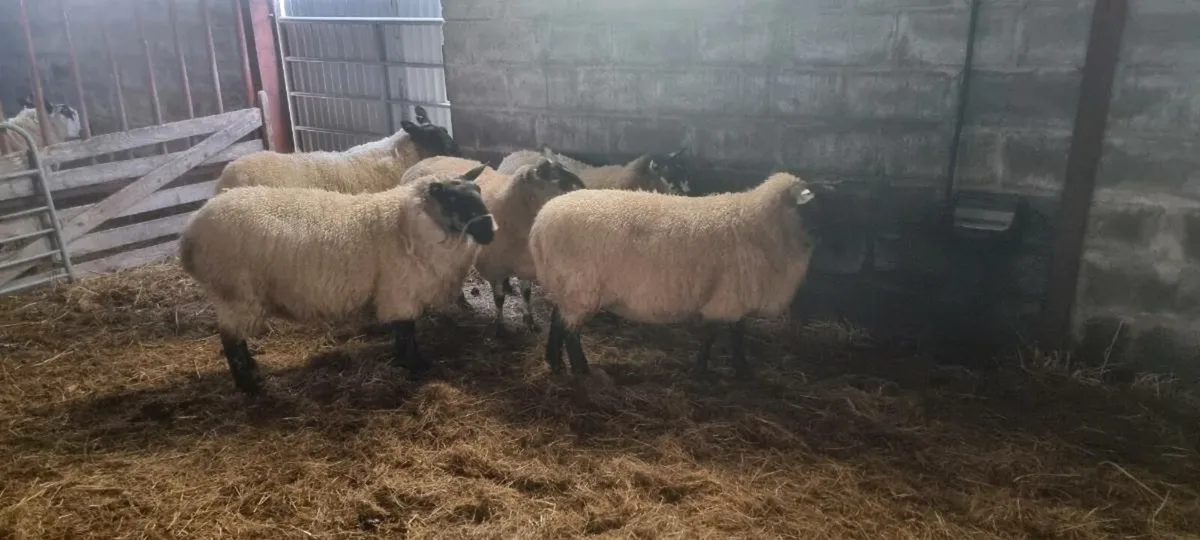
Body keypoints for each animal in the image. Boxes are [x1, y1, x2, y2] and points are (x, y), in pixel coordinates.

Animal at [178, 165, 497, 394]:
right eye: (453, 199)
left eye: (479, 190)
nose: (489, 231)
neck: (407, 223)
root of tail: (190, 231)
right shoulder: (400, 291)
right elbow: (406, 331)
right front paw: (415, 365)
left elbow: (401, 331)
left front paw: (401, 360)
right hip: (235, 293)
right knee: (231, 343)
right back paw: (249, 385)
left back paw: (253, 372)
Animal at [401, 150, 585, 331]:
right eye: (555, 178)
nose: (582, 191)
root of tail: (424, 160)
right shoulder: (493, 267)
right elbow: (499, 299)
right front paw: (500, 324)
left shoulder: (525, 265)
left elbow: (526, 294)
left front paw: (530, 320)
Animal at [527, 171, 833, 378]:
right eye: (818, 205)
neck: (762, 226)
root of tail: (539, 224)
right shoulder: (728, 296)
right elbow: (718, 335)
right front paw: (708, 370)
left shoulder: (734, 296)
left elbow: (734, 332)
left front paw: (737, 368)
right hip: (580, 286)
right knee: (570, 331)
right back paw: (582, 369)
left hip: (566, 285)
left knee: (557, 320)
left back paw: (554, 362)